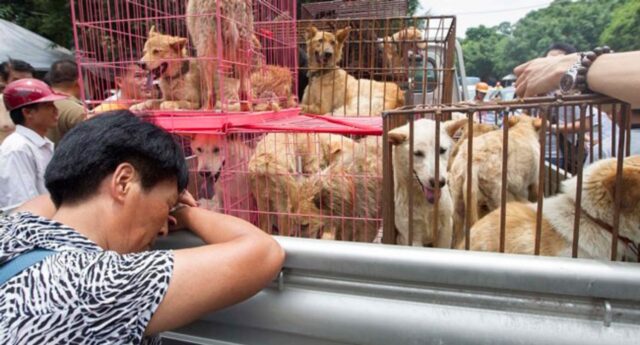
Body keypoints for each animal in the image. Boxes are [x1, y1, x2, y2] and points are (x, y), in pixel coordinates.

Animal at [384, 118, 464, 247]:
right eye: (417, 153)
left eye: (442, 150)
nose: (439, 182)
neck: (425, 204)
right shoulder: (411, 235)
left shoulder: (446, 227)